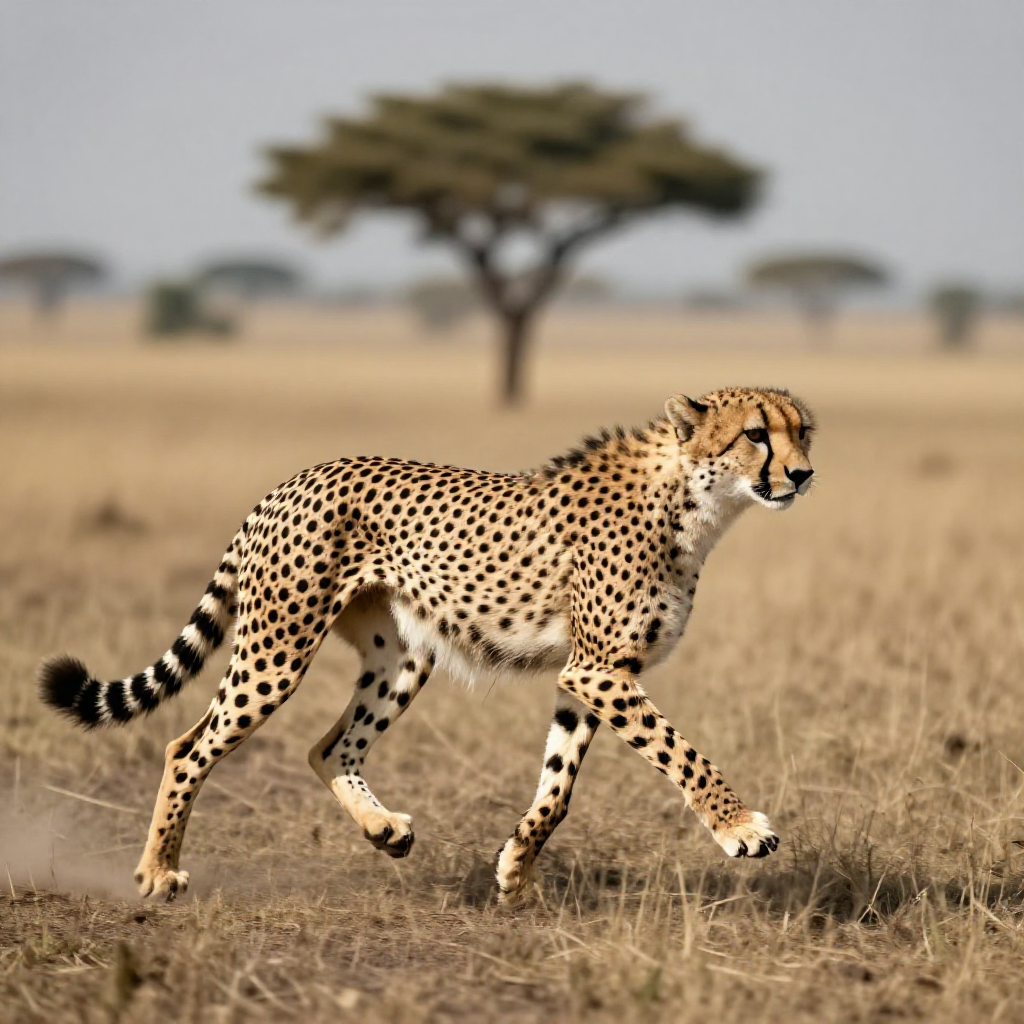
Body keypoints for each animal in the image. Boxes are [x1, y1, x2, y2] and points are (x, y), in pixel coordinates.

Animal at [39, 386, 815, 902]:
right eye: (755, 435)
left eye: (804, 431)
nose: (802, 473)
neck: (695, 500)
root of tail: (293, 479)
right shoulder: (601, 671)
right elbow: (682, 752)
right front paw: (740, 827)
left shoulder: (590, 674)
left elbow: (558, 786)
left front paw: (516, 868)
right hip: (276, 650)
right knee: (188, 746)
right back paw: (157, 871)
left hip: (403, 657)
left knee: (330, 747)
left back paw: (383, 829)